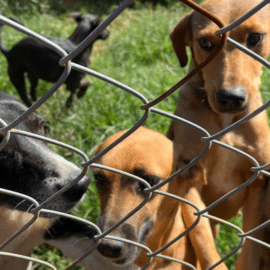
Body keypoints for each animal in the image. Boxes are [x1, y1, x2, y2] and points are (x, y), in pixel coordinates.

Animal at [169, 1, 270, 268]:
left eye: (255, 38)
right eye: (205, 43)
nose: (231, 98)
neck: (226, 123)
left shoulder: (257, 178)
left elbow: (251, 241)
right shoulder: (188, 175)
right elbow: (201, 236)